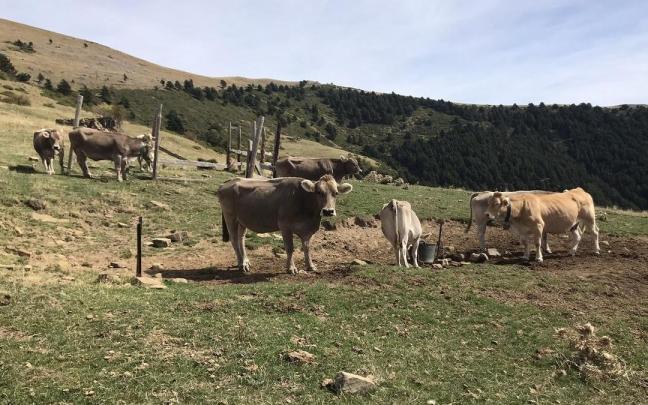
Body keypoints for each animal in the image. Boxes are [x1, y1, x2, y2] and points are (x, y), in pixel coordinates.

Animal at [218, 174, 353, 274]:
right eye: (318, 192)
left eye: (336, 193)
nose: (328, 211)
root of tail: (228, 182)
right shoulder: (285, 226)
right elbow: (290, 248)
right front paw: (291, 268)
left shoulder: (307, 230)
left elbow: (307, 247)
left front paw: (310, 266)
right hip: (230, 217)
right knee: (234, 240)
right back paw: (241, 264)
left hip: (242, 220)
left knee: (241, 239)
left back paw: (246, 261)